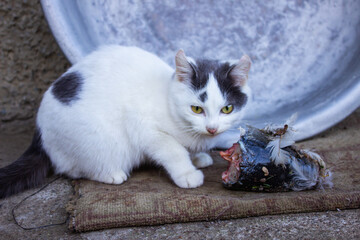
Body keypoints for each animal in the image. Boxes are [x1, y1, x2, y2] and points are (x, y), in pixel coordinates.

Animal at [0, 45, 252, 199]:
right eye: (197, 109)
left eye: (227, 109)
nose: (212, 128)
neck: (168, 99)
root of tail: (40, 134)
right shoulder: (145, 127)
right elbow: (173, 150)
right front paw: (187, 173)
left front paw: (197, 157)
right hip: (98, 142)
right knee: (71, 169)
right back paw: (110, 174)